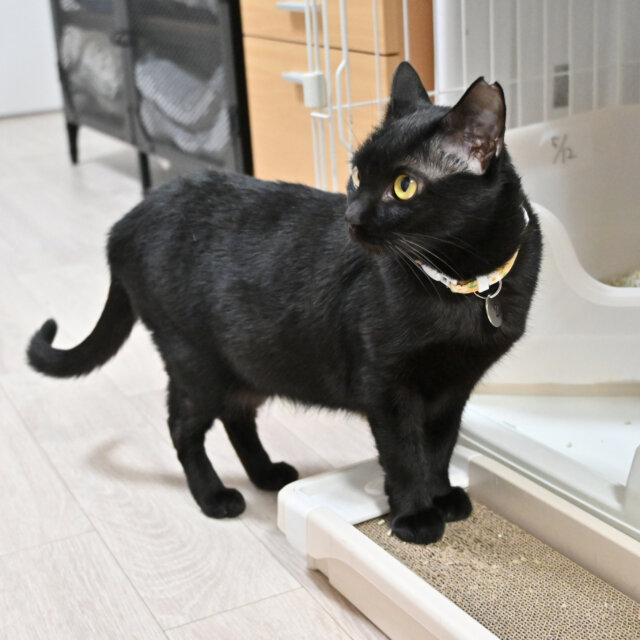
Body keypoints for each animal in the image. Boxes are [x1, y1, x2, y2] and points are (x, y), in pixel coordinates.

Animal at [27, 62, 541, 544]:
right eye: (358, 173)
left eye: (403, 186)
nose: (352, 217)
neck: (464, 284)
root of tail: (127, 219)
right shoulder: (388, 388)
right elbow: (404, 455)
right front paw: (415, 516)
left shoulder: (455, 388)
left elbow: (439, 448)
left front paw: (443, 496)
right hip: (195, 361)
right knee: (183, 428)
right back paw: (215, 497)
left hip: (245, 362)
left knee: (236, 417)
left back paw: (266, 473)